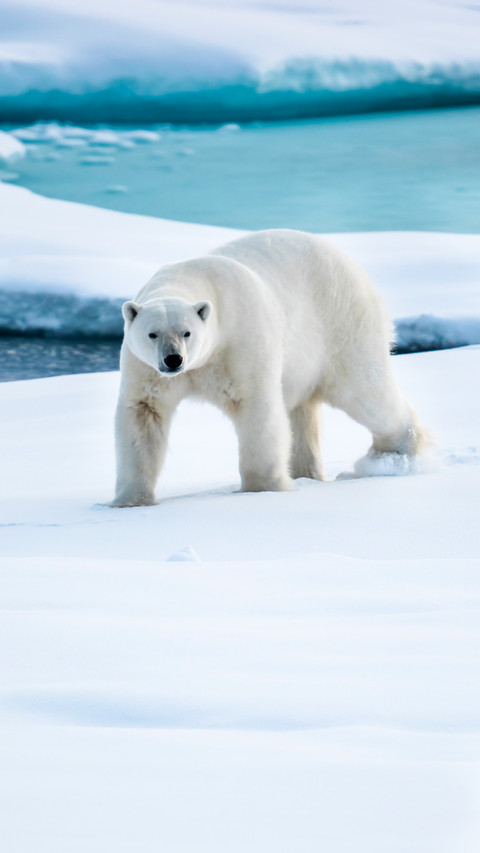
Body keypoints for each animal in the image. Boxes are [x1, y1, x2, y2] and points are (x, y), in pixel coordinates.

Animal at [111, 229, 429, 507]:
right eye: (152, 334)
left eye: (186, 332)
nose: (173, 360)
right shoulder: (145, 369)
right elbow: (143, 415)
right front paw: (131, 500)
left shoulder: (240, 342)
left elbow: (257, 407)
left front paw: (261, 488)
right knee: (303, 413)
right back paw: (305, 472)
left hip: (343, 323)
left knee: (364, 390)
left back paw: (395, 454)